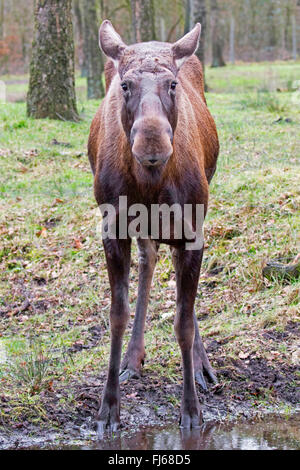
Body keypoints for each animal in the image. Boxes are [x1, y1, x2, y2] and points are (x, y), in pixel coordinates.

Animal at [88, 20, 219, 432]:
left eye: (172, 84)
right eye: (125, 85)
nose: (152, 145)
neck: (150, 184)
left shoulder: (192, 231)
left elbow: (183, 320)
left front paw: (191, 411)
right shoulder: (112, 229)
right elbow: (117, 314)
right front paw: (108, 408)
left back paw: (201, 367)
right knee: (149, 261)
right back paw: (133, 358)